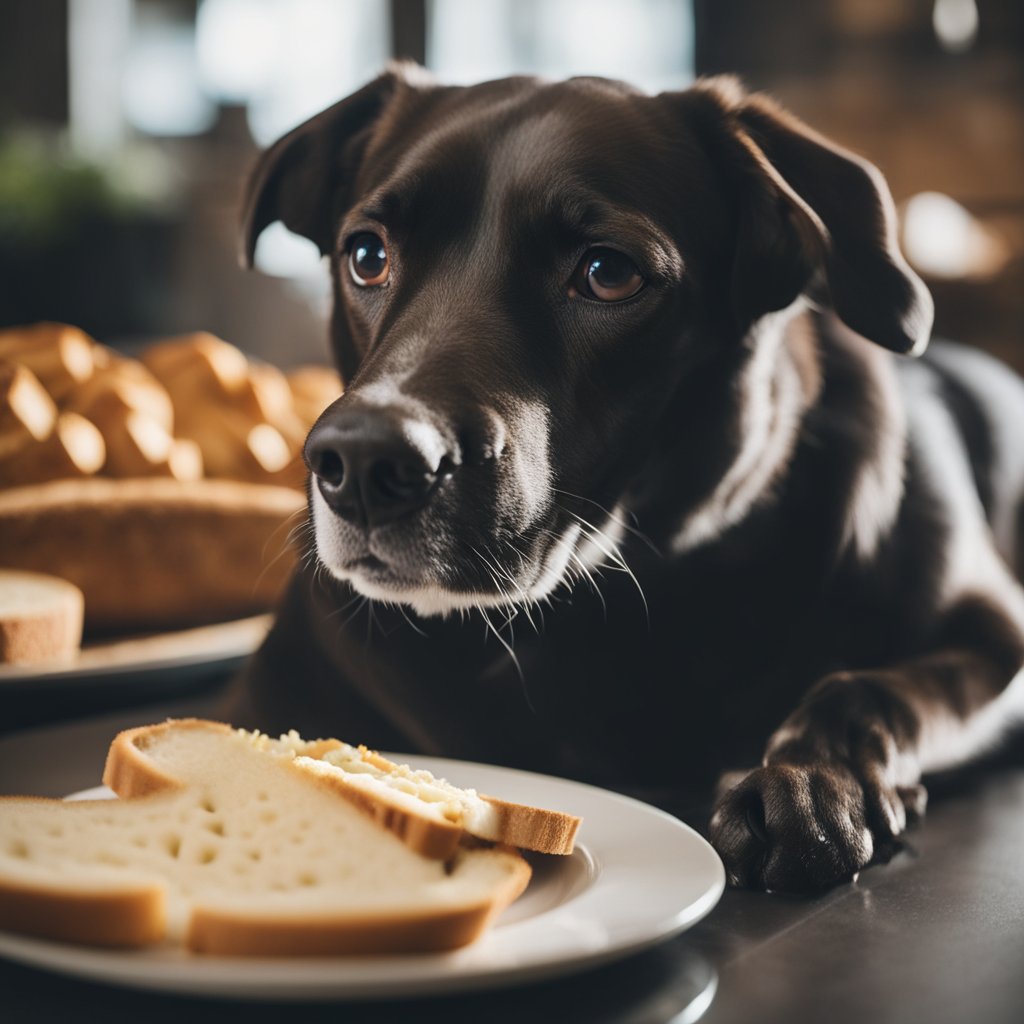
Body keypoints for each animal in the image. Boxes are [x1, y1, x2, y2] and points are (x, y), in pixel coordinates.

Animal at [230, 68, 1024, 892]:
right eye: (366, 256)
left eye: (608, 274)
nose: (362, 465)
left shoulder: (996, 640)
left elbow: (864, 687)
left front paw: (808, 778)